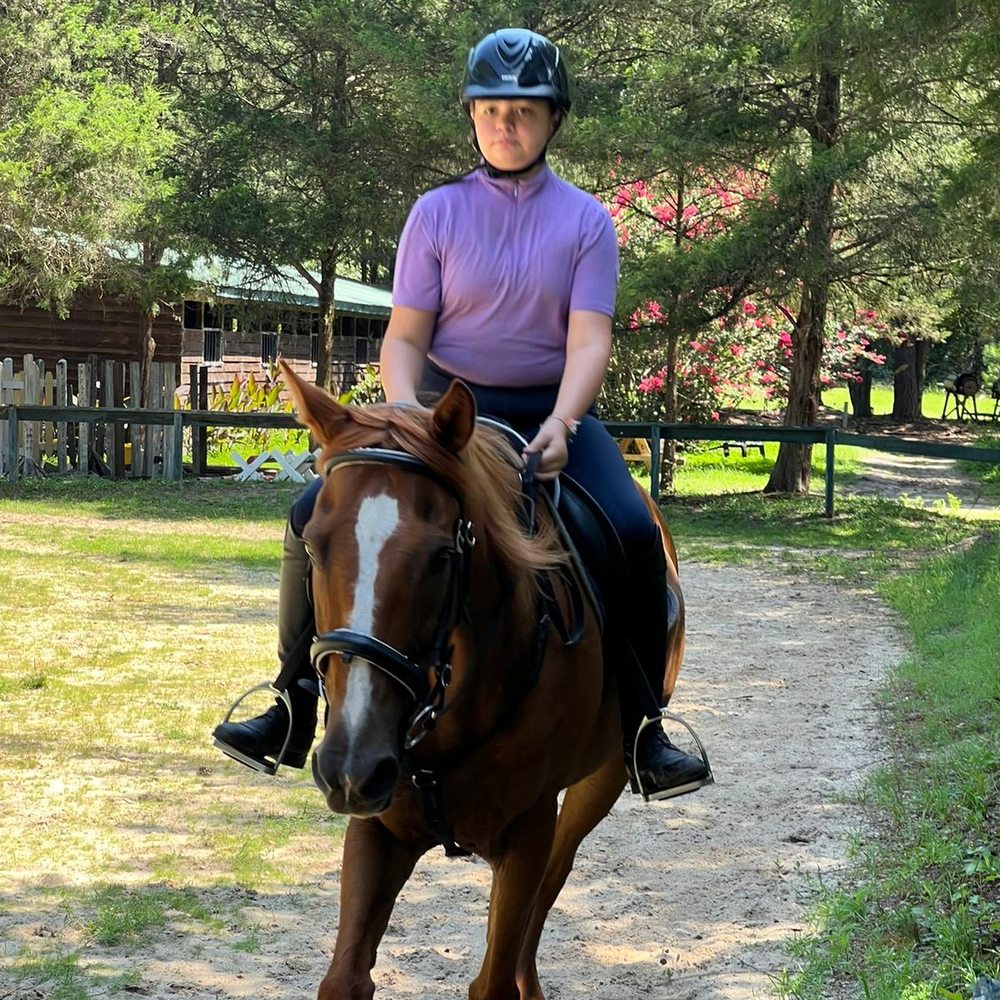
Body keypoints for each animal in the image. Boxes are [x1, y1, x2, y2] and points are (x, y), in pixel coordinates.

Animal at [279, 360, 688, 1000]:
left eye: (441, 557)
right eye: (315, 547)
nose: (351, 764)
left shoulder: (525, 833)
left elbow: (495, 975)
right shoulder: (379, 832)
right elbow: (344, 979)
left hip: (602, 778)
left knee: (553, 880)